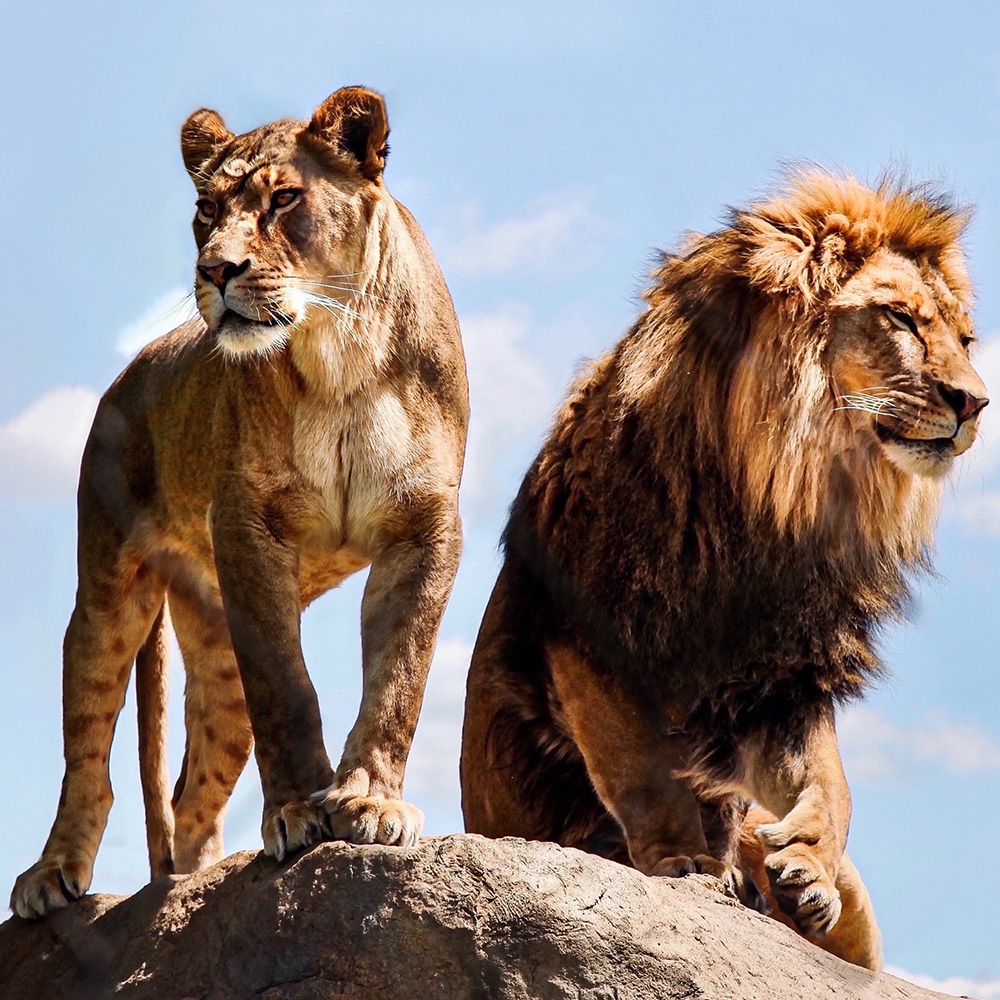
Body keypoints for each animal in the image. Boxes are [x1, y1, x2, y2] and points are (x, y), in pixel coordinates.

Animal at [11, 86, 468, 919]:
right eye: (205, 208)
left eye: (284, 198)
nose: (216, 269)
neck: (339, 353)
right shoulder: (248, 528)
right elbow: (286, 687)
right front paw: (296, 812)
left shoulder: (425, 528)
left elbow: (400, 676)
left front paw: (368, 800)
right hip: (110, 595)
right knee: (89, 758)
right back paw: (53, 874)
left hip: (216, 649)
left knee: (192, 794)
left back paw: (189, 890)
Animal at [460, 172, 987, 971]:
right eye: (898, 317)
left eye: (964, 339)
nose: (976, 402)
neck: (779, 498)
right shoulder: (591, 638)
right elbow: (644, 768)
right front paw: (684, 862)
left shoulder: (779, 680)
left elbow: (833, 783)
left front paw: (805, 865)